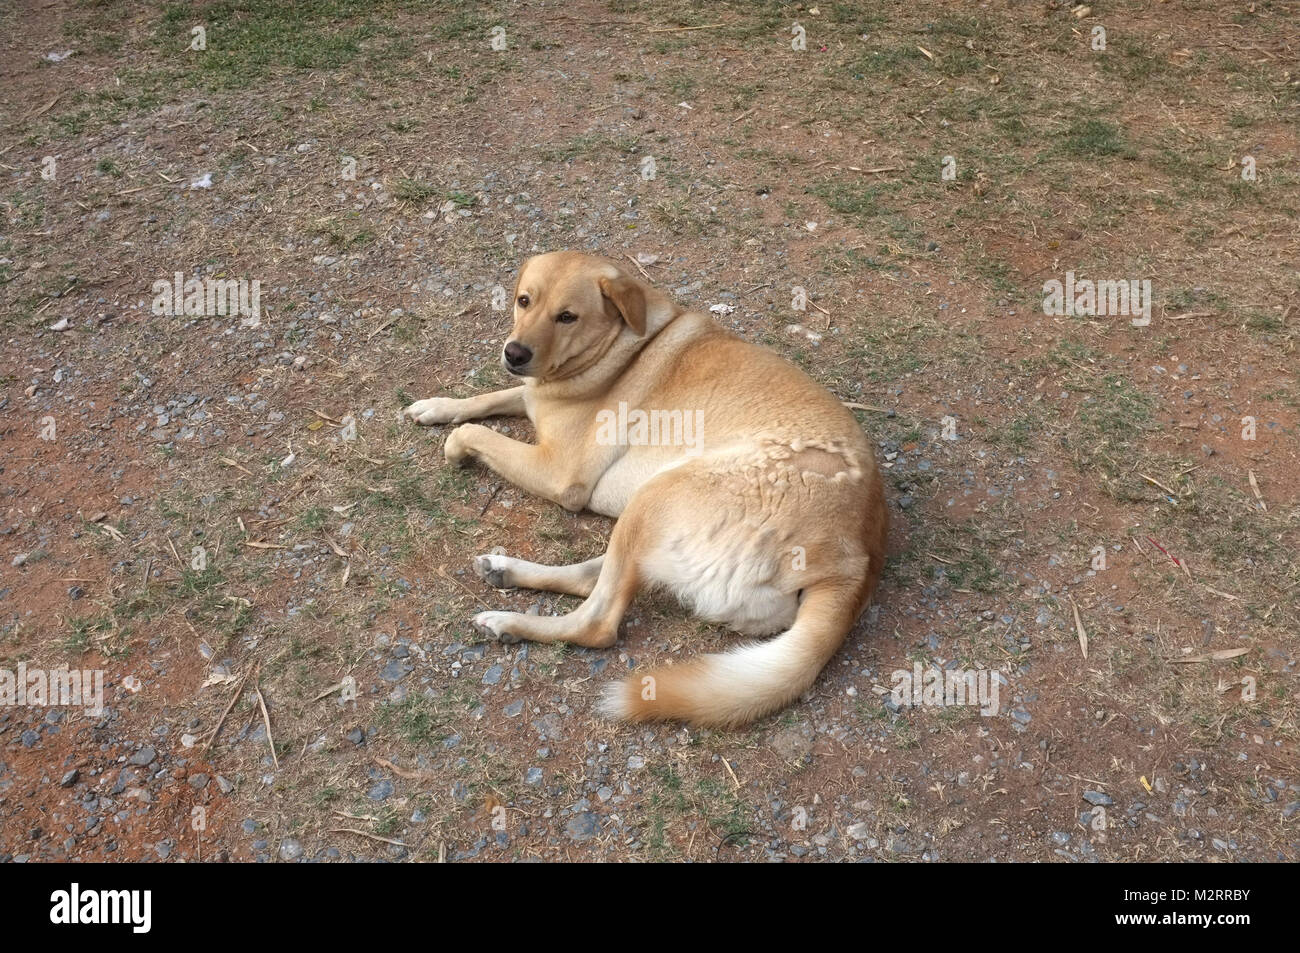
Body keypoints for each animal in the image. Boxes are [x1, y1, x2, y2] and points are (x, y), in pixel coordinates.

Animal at [403, 252, 883, 728]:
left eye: (567, 317)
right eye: (524, 300)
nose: (514, 353)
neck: (622, 348)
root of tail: (854, 564)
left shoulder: (558, 472)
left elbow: (475, 432)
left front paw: (455, 446)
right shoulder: (531, 397)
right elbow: (492, 397)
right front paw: (437, 406)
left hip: (659, 495)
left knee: (597, 623)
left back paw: (508, 622)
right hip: (654, 519)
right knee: (595, 579)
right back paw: (504, 570)